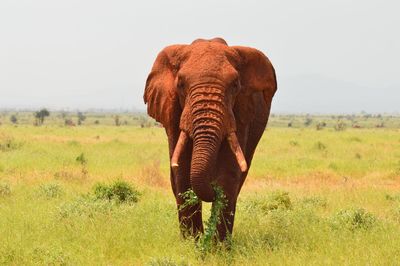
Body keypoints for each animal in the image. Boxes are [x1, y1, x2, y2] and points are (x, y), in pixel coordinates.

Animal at [144, 38, 278, 241]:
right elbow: (181, 172)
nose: (212, 190)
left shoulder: (241, 112)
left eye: (235, 85)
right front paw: (192, 242)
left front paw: (217, 245)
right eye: (180, 84)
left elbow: (229, 173)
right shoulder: (172, 111)